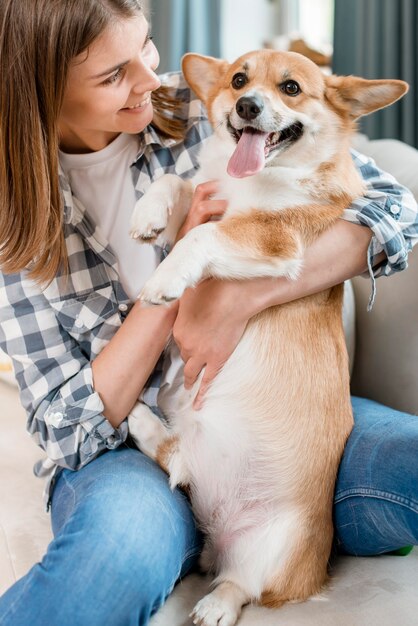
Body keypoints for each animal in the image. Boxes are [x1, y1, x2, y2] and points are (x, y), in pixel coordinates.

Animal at [128, 50, 408, 624]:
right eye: (238, 80)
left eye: (292, 87)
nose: (247, 106)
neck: (252, 181)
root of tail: (218, 541)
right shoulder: (211, 193)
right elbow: (180, 187)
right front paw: (148, 213)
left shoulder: (274, 238)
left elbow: (202, 235)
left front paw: (167, 278)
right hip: (190, 461)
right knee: (176, 459)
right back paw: (141, 421)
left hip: (279, 545)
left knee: (245, 585)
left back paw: (215, 604)